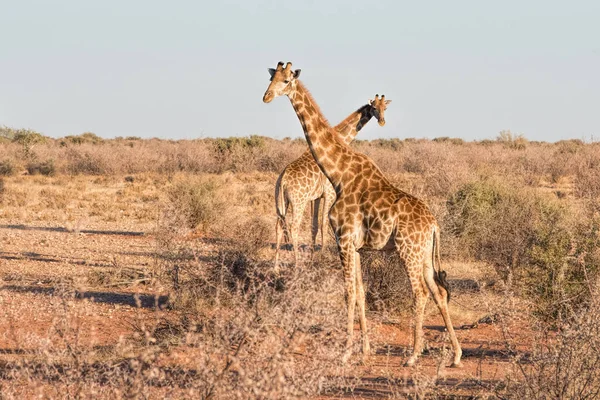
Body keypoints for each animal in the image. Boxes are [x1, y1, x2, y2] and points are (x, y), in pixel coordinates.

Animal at [274, 95, 392, 268]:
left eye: (386, 107)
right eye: (375, 107)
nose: (382, 121)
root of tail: (282, 180)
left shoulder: (315, 197)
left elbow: (314, 226)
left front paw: (312, 258)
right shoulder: (329, 193)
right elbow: (324, 223)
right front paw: (323, 255)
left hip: (281, 201)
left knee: (278, 226)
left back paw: (275, 266)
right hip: (298, 201)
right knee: (293, 227)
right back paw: (296, 264)